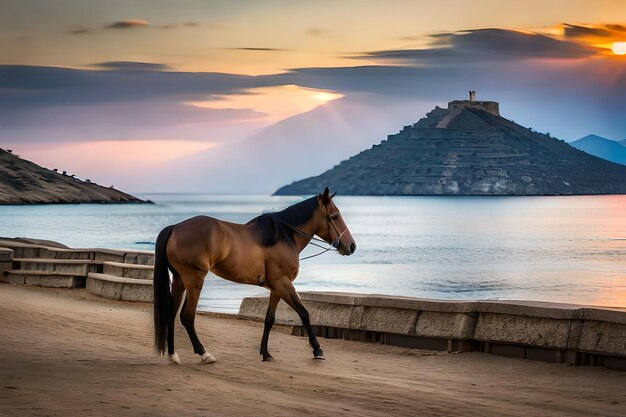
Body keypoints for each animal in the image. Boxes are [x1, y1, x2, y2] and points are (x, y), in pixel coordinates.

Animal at [153, 187, 354, 362]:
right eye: (334, 216)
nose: (351, 246)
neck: (283, 236)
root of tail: (174, 228)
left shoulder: (276, 288)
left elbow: (269, 320)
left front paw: (265, 353)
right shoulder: (284, 283)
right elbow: (304, 313)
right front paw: (317, 349)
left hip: (180, 280)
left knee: (171, 314)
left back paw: (172, 355)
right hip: (194, 280)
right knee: (187, 316)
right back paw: (204, 354)